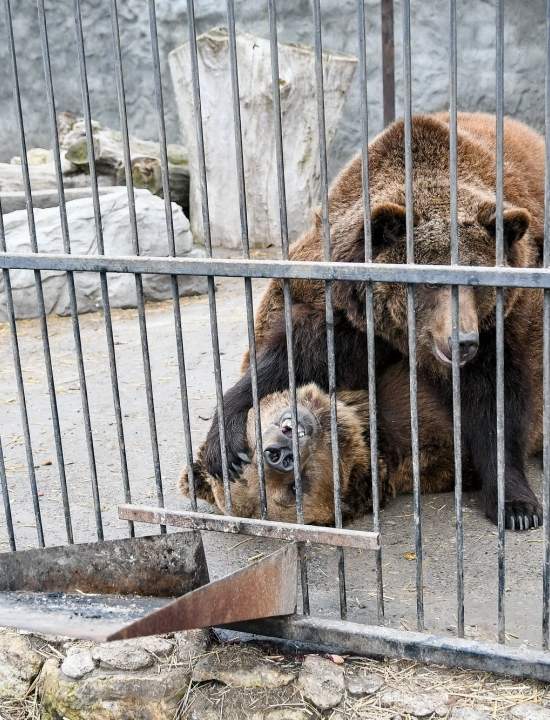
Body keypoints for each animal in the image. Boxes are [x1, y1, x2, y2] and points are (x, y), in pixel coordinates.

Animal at [201, 111, 544, 528]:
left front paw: (517, 506)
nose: (463, 341)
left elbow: (499, 400)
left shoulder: (504, 322)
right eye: (433, 281)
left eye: (477, 281)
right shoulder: (346, 310)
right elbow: (293, 357)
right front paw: (226, 441)